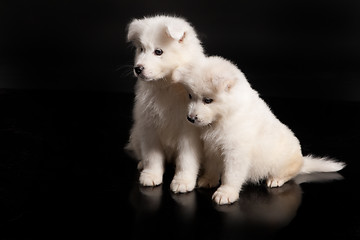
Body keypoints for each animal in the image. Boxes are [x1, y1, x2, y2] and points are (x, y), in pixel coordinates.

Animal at [125, 15, 205, 193]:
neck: (167, 87)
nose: (137, 68)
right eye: (141, 49)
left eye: (158, 52)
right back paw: (141, 164)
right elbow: (152, 156)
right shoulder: (149, 127)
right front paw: (151, 175)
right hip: (136, 134)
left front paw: (183, 181)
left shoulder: (188, 132)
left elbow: (186, 159)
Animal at [174, 56, 346, 204]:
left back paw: (276, 179)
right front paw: (205, 180)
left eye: (208, 100)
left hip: (284, 162)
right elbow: (206, 165)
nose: (190, 118)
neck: (223, 117)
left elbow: (231, 175)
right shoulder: (206, 145)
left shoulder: (236, 152)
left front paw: (226, 193)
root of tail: (302, 161)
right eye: (190, 96)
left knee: (290, 172)